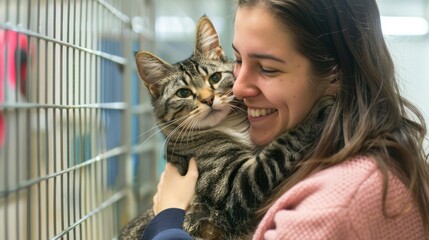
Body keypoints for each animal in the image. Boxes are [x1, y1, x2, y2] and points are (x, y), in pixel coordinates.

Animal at [118, 15, 332, 239]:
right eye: (183, 93)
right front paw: (316, 113)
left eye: (215, 78)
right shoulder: (234, 183)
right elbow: (282, 145)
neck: (229, 127)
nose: (208, 99)